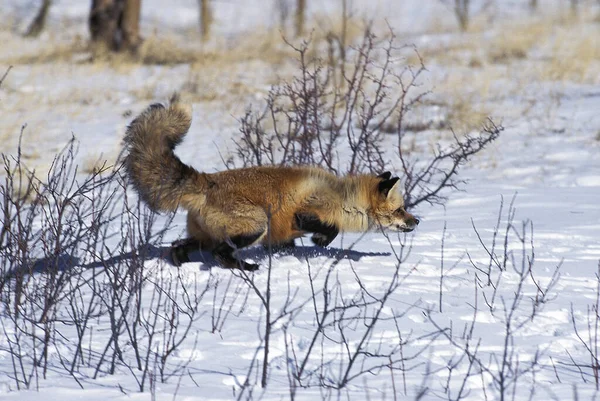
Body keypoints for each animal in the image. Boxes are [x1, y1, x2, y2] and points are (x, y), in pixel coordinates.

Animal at [124, 96, 420, 270]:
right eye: (400, 210)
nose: (417, 221)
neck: (343, 198)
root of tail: (208, 181)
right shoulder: (305, 213)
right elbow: (329, 228)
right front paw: (320, 240)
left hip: (205, 236)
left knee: (181, 246)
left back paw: (180, 262)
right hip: (257, 224)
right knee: (220, 253)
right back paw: (245, 267)